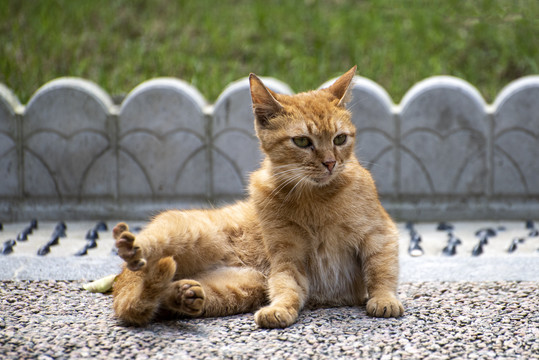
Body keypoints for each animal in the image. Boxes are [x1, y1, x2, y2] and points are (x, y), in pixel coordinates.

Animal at [112, 66, 402, 328]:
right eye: (302, 142)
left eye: (340, 139)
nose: (330, 163)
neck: (315, 198)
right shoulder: (287, 257)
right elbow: (286, 287)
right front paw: (280, 308)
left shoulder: (379, 234)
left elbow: (381, 271)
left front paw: (384, 300)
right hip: (189, 234)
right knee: (144, 256)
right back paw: (132, 248)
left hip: (240, 288)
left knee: (161, 298)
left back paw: (184, 294)